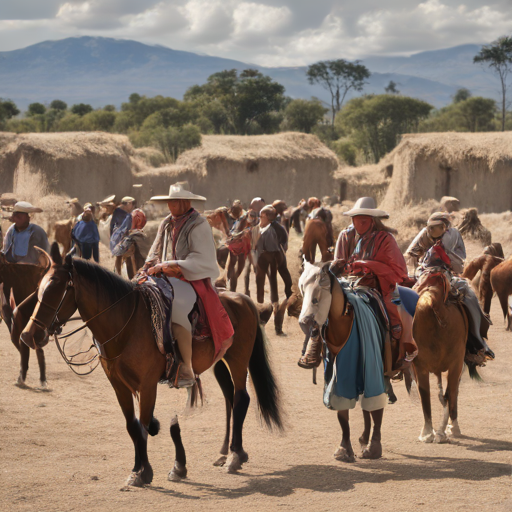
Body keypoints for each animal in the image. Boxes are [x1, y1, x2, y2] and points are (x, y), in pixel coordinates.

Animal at [22, 244, 282, 488]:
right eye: (40, 287)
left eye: (56, 289)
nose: (29, 335)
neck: (127, 326)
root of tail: (243, 299)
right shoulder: (119, 386)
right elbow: (133, 426)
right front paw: (140, 470)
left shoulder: (147, 385)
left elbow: (144, 425)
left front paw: (143, 472)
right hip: (220, 360)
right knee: (230, 399)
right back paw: (225, 452)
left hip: (239, 358)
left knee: (241, 398)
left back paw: (235, 456)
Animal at [412, 272, 472, 444]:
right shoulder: (456, 365)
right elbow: (449, 393)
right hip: (453, 364)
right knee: (449, 392)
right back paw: (442, 430)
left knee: (430, 395)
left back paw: (429, 433)